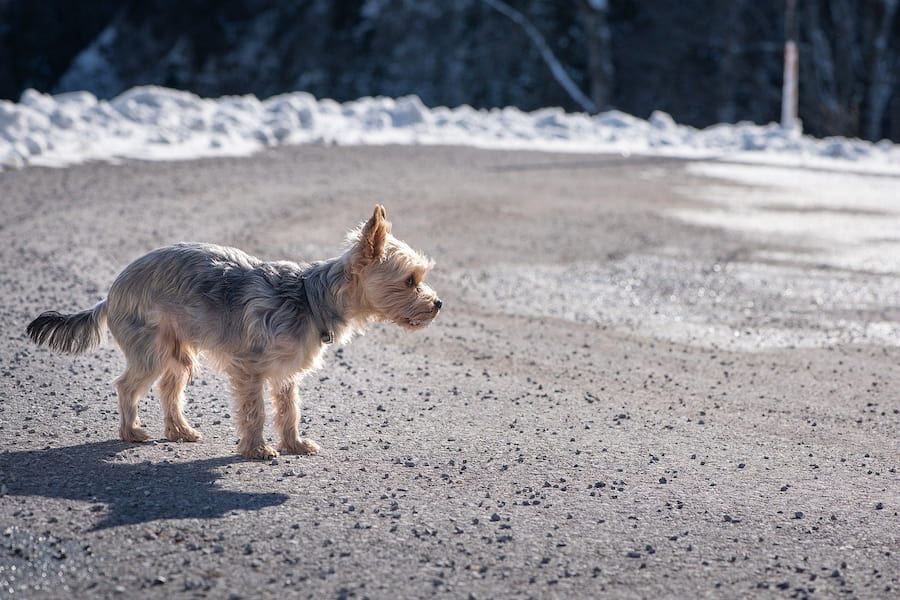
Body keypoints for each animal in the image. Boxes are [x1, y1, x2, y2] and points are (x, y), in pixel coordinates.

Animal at [24, 206, 440, 460]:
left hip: (179, 350)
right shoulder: (249, 369)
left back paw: (179, 431)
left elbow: (289, 410)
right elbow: (255, 411)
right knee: (127, 385)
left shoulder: (285, 375)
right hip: (150, 350)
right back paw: (132, 432)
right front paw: (256, 450)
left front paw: (293, 444)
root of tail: (111, 291)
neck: (311, 298)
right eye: (409, 280)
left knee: (169, 387)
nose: (437, 304)